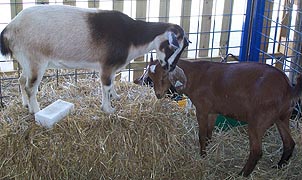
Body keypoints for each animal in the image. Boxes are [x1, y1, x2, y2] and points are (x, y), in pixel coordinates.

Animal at [0, 4, 189, 113]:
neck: (131, 37)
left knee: (21, 80)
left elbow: (112, 84)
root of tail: (9, 29)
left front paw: (116, 97)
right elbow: (106, 85)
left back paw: (26, 105)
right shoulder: (106, 66)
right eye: (173, 47)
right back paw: (36, 111)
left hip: (26, 62)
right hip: (36, 61)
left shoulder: (111, 68)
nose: (171, 68)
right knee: (30, 87)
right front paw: (108, 109)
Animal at [145, 58, 300, 176]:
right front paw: (208, 150)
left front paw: (202, 155)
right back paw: (279, 165)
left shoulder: (202, 109)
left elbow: (201, 135)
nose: (158, 94)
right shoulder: (213, 111)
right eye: (151, 77)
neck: (194, 76)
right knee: (289, 143)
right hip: (282, 117)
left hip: (259, 120)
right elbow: (209, 134)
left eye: (164, 76)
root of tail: (288, 88)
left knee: (257, 151)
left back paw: (242, 174)